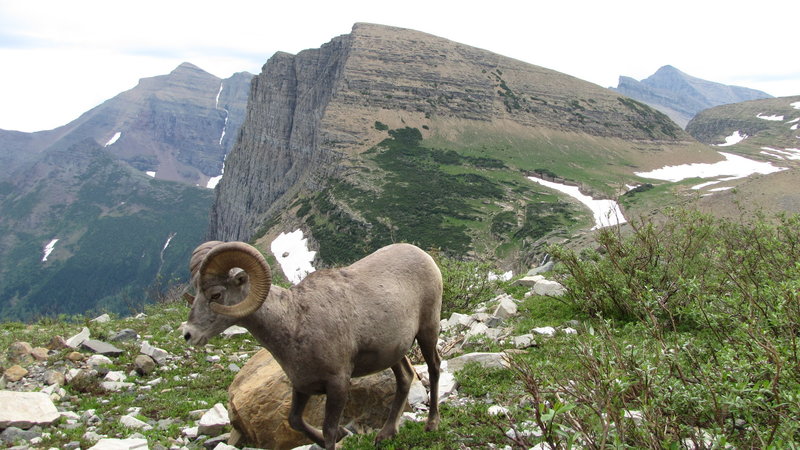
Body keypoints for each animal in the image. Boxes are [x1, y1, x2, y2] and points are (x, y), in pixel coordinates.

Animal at [182, 241, 444, 448]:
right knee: (405, 378)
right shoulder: (302, 385)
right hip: (393, 354)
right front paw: (344, 433)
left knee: (434, 368)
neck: (294, 321)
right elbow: (295, 420)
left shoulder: (338, 384)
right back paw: (385, 434)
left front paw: (339, 434)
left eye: (216, 295)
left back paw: (431, 424)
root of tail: (422, 255)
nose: (188, 334)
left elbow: (328, 431)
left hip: (427, 332)